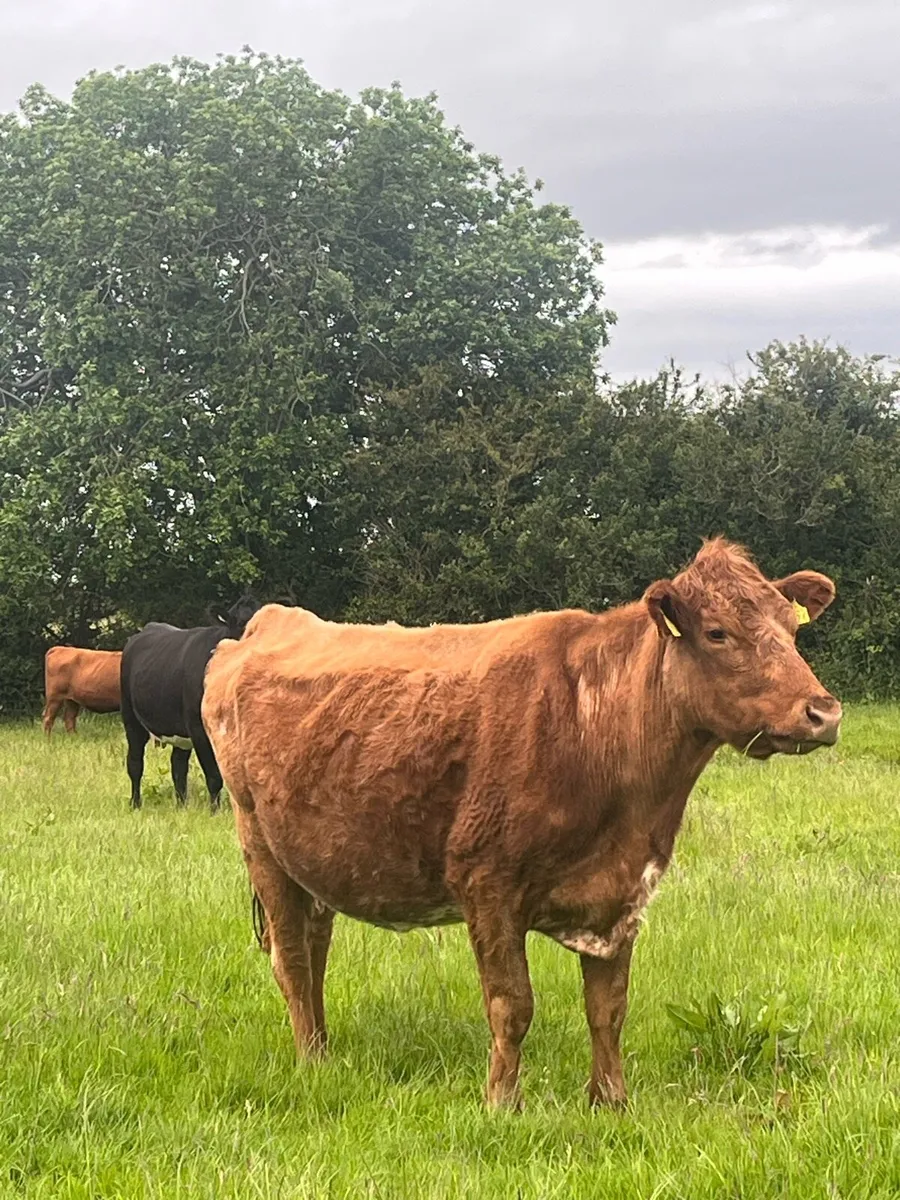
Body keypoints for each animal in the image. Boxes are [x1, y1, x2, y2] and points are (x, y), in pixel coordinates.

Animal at [120, 596, 259, 811]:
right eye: (239, 624)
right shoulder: (199, 730)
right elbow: (214, 776)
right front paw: (215, 811)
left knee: (178, 765)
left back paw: (182, 805)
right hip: (131, 717)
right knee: (135, 763)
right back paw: (136, 804)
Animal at [201, 540, 841, 1109]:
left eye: (792, 630)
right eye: (717, 632)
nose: (823, 711)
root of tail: (270, 621)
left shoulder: (624, 893)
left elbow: (608, 1008)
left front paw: (611, 1102)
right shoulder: (487, 885)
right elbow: (512, 1006)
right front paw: (502, 1103)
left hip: (317, 860)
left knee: (315, 951)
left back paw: (326, 1050)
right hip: (260, 845)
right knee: (292, 959)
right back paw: (312, 1061)